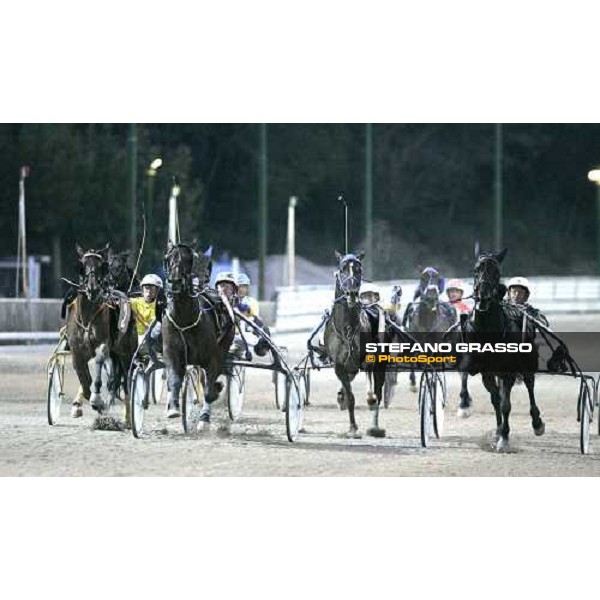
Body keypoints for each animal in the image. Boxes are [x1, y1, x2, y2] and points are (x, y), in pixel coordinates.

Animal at [162, 240, 234, 426]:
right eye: (168, 258)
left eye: (189, 259)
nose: (174, 281)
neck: (184, 320)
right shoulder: (172, 353)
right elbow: (174, 380)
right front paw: (173, 408)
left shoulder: (211, 357)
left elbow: (209, 389)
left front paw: (204, 417)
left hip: (223, 346)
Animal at [324, 251, 384, 438]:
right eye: (342, 268)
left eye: (358, 269)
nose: (351, 293)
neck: (348, 328)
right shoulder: (338, 365)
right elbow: (350, 396)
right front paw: (352, 427)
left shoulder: (367, 359)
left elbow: (372, 391)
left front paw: (370, 399)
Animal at [462, 248, 548, 450]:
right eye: (476, 270)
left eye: (497, 272)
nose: (483, 296)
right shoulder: (483, 369)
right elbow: (494, 399)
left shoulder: (508, 372)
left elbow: (506, 405)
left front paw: (505, 438)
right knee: (497, 397)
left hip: (528, 364)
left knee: (530, 386)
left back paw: (537, 423)